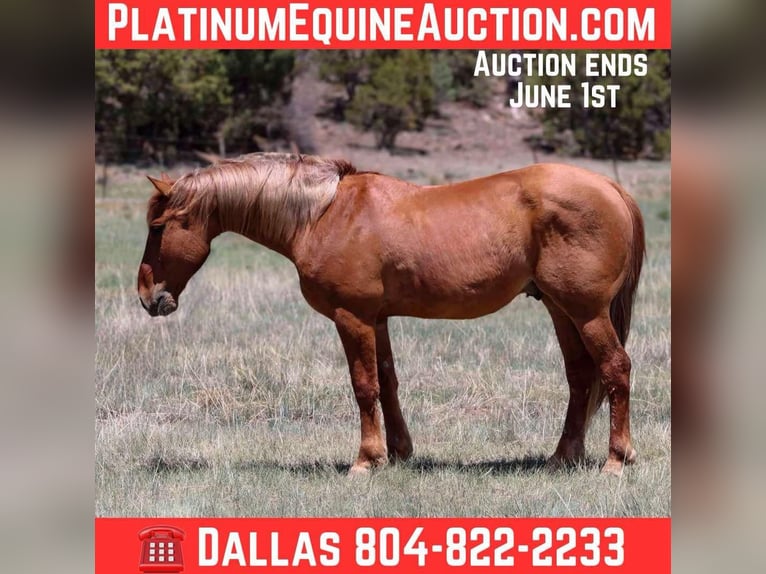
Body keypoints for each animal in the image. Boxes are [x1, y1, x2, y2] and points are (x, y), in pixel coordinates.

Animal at [138, 153, 645, 476]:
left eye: (158, 227)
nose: (148, 296)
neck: (323, 215)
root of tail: (610, 187)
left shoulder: (352, 317)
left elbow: (364, 387)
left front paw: (365, 460)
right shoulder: (376, 319)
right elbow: (387, 381)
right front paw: (399, 452)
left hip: (586, 311)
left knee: (615, 368)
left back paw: (616, 460)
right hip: (562, 310)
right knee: (581, 377)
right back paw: (562, 457)